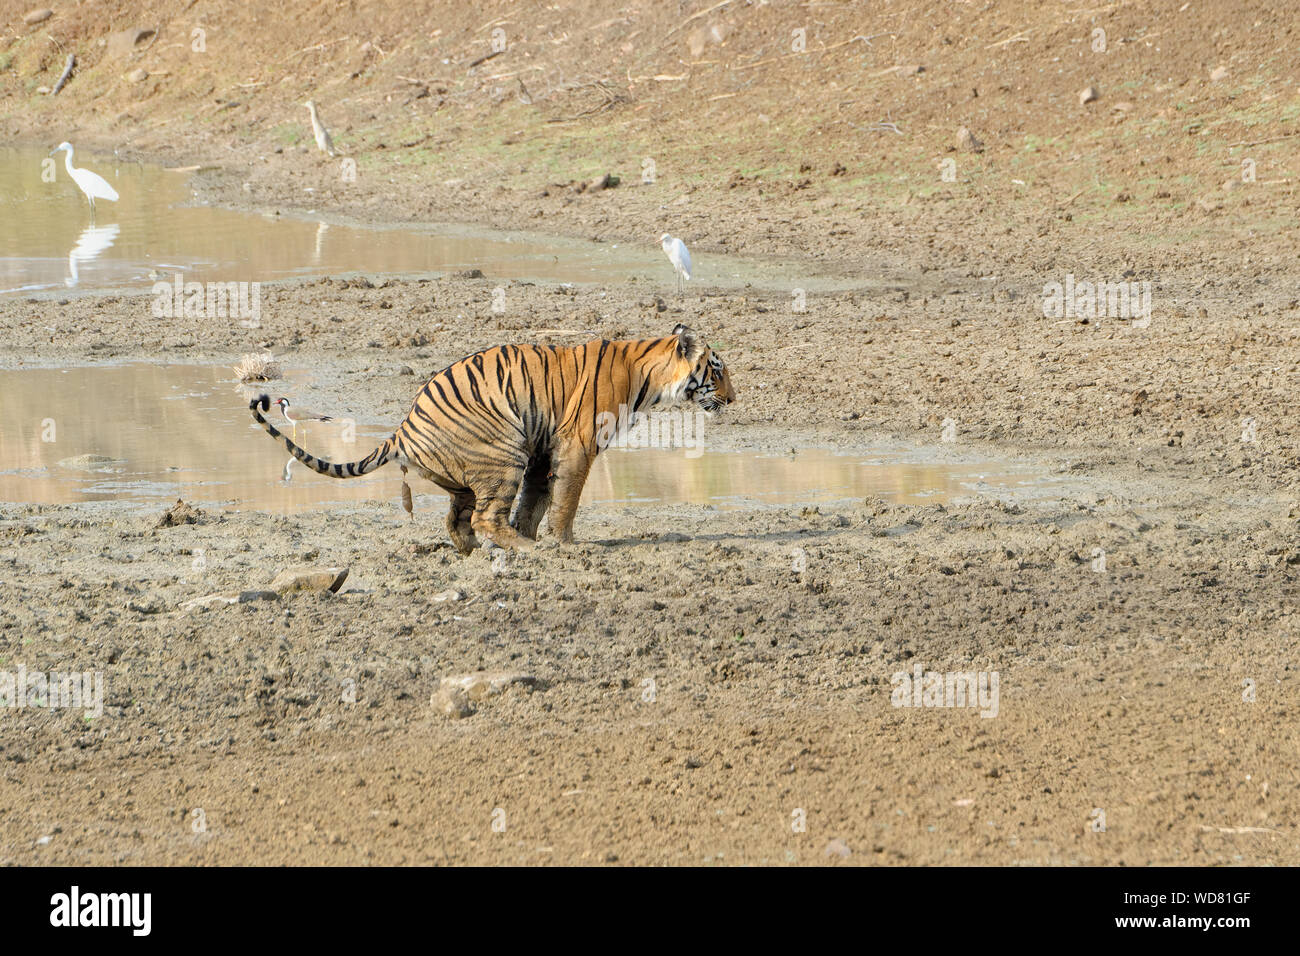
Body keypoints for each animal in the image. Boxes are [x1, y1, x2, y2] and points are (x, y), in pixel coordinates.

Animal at [249, 324, 736, 554]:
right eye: (717, 371)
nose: (734, 398)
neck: (649, 376)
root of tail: (403, 426)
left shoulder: (543, 450)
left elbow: (536, 500)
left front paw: (536, 532)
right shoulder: (576, 446)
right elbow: (566, 498)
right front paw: (563, 543)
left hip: (473, 471)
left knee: (458, 519)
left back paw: (476, 550)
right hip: (503, 452)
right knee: (484, 518)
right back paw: (523, 549)